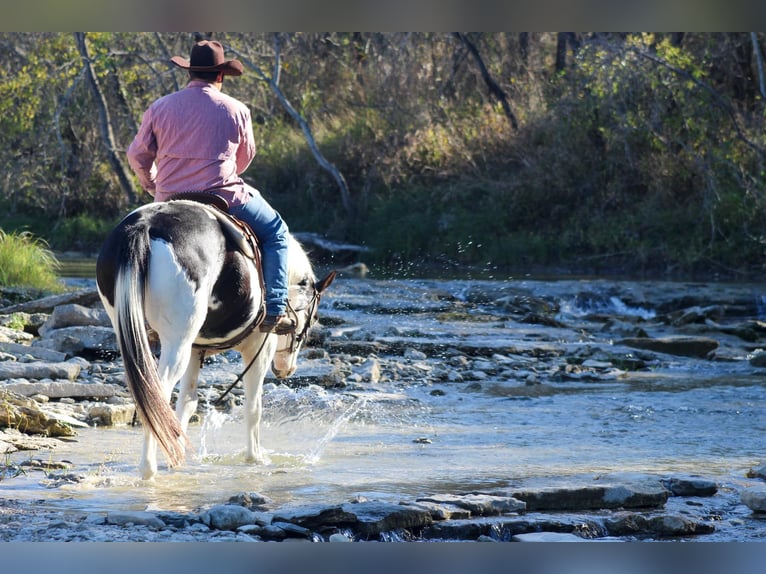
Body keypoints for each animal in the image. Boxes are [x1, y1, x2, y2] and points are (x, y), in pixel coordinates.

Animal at [95, 199, 335, 480]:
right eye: (314, 316)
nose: (286, 369)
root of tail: (146, 225)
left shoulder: (195, 350)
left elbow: (187, 403)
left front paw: (179, 458)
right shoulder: (259, 348)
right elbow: (253, 408)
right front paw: (255, 458)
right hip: (176, 343)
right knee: (156, 396)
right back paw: (148, 468)